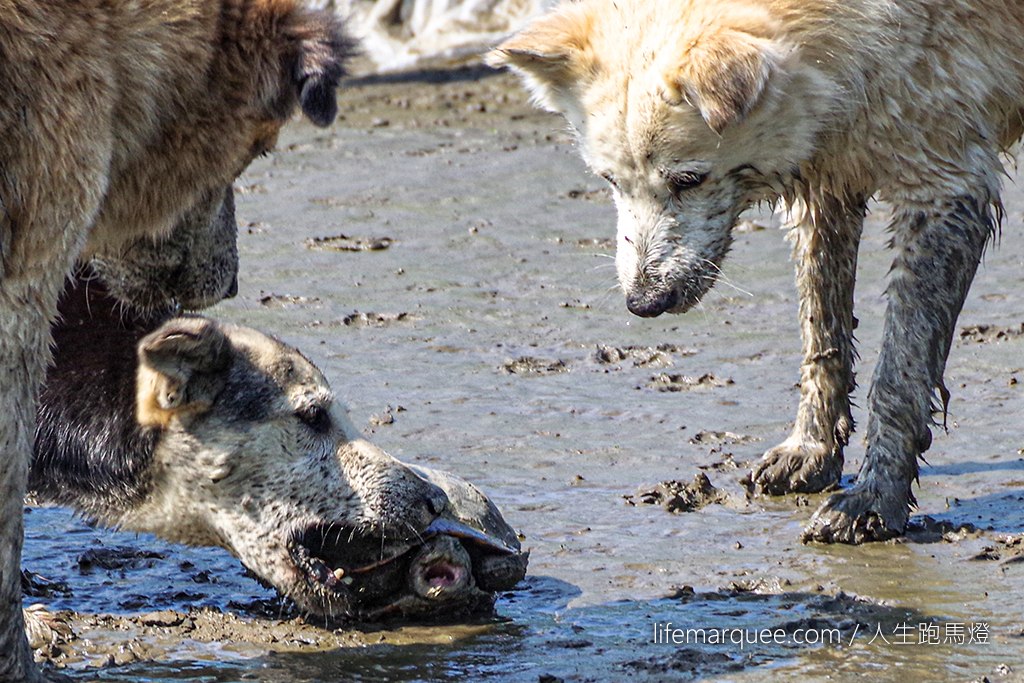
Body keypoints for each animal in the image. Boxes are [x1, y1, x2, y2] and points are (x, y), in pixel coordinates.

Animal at [489, 0, 1024, 544]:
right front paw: (811, 451)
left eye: (688, 179)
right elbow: (822, 337)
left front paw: (874, 501)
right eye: (610, 180)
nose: (643, 303)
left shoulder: (943, 184)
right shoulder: (827, 181)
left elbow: (900, 372)